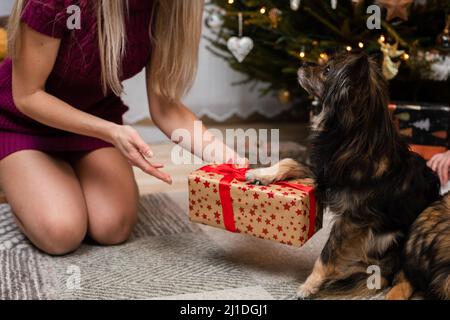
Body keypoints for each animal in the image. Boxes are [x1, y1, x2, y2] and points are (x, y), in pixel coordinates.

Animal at [244, 51, 442, 298]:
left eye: (327, 70)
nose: (302, 62)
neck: (350, 138)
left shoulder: (351, 221)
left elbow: (326, 255)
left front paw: (310, 285)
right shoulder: (323, 175)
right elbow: (288, 161)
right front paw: (262, 174)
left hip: (407, 241)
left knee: (403, 281)